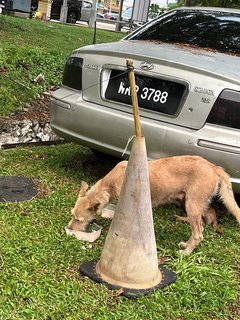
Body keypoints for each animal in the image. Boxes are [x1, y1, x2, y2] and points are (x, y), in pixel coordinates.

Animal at [68, 156, 240, 255]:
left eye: (79, 219)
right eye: (72, 215)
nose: (69, 229)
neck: (109, 185)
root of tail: (214, 167)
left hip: (192, 206)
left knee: (199, 233)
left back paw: (186, 252)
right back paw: (186, 245)